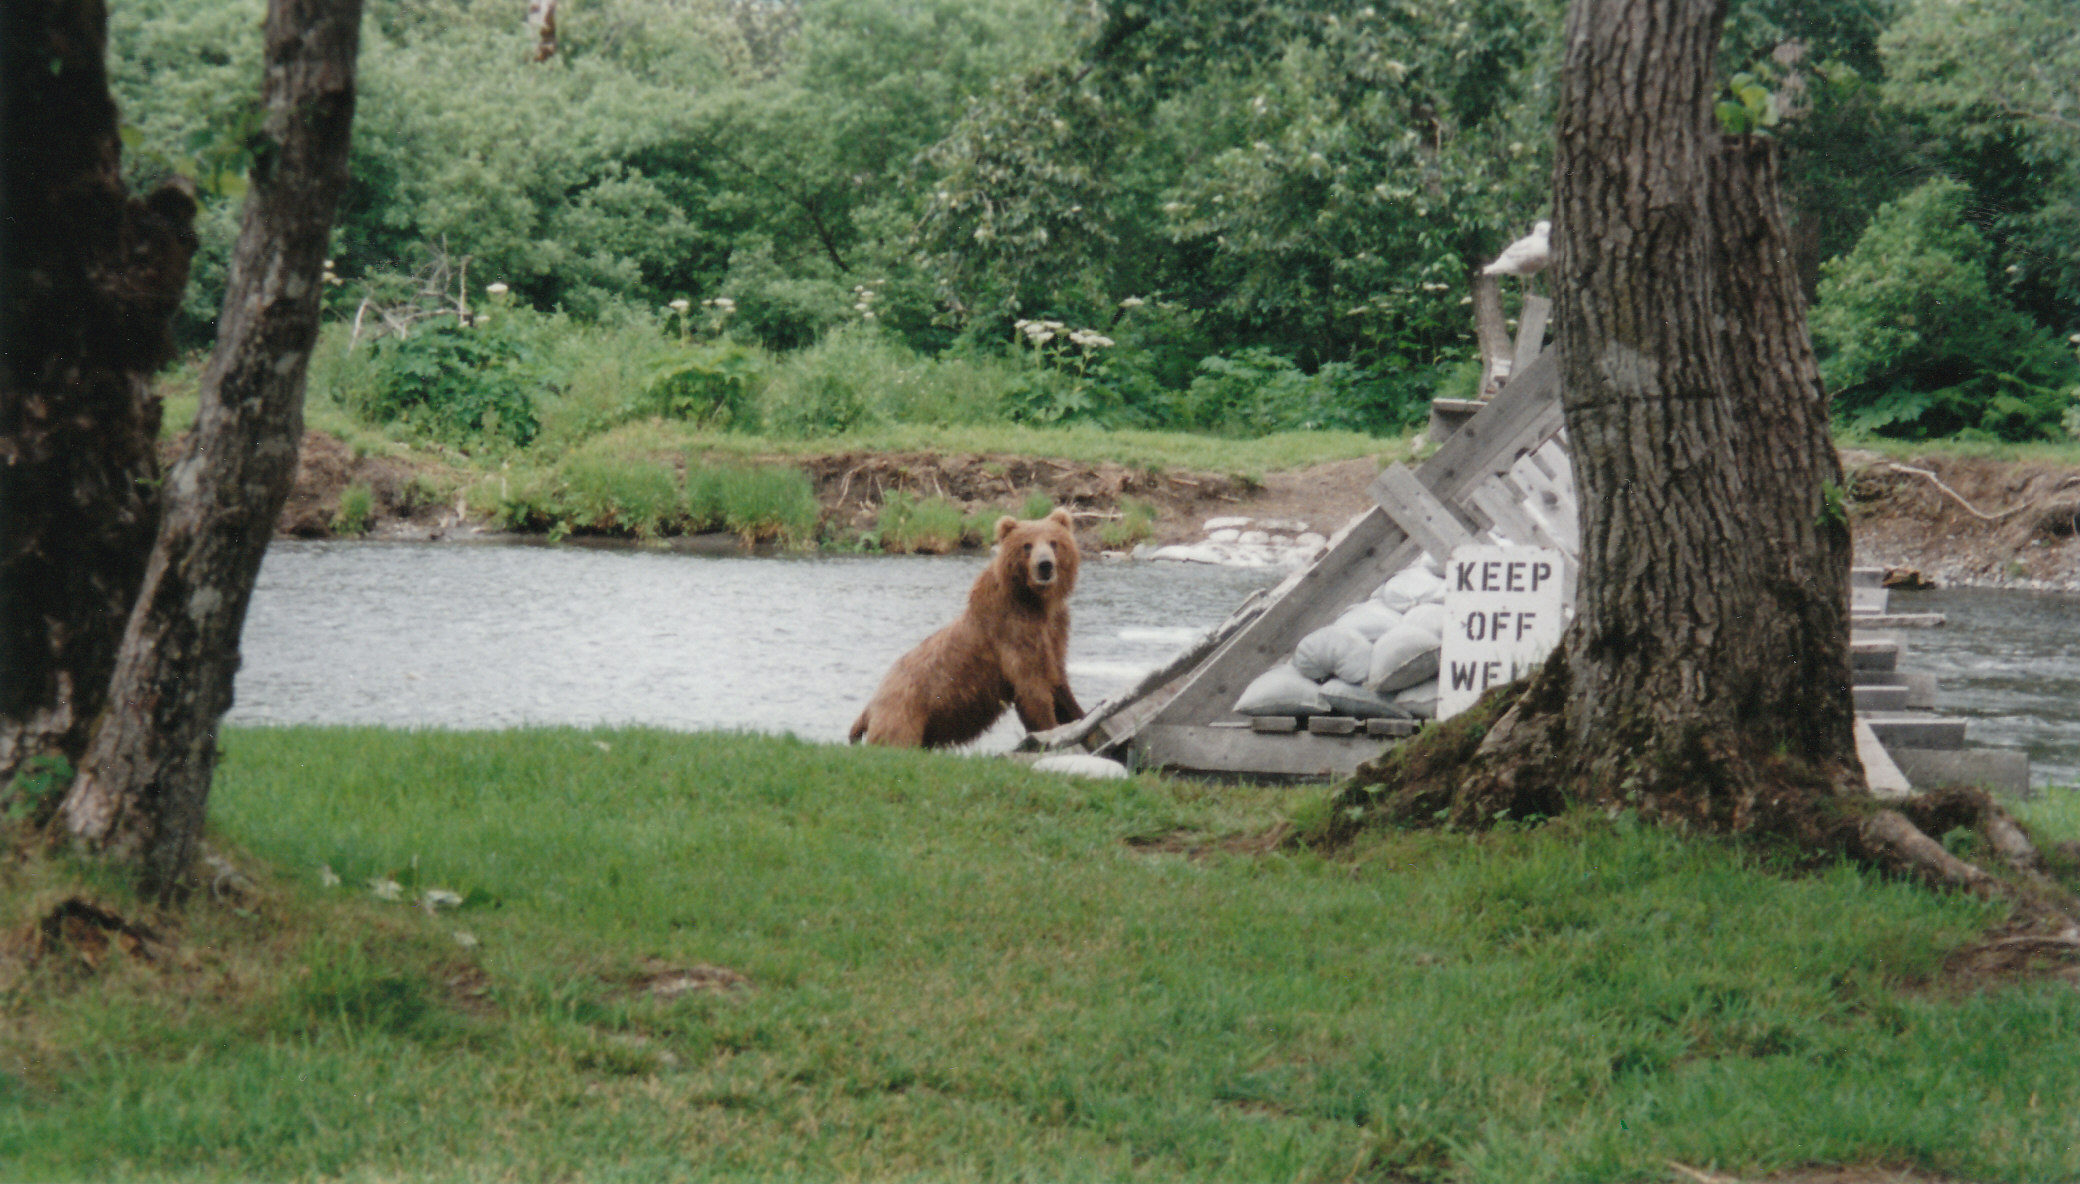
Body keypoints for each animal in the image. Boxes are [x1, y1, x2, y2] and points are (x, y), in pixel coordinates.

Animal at [852, 503, 1089, 744]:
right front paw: (1049, 727)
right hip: (903, 715)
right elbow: (1033, 690)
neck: (1036, 603)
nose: (1045, 565)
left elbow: (1058, 681)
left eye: (1054, 542)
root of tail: (869, 706)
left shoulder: (1055, 631)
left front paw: (1078, 715)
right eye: (1027, 545)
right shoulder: (1013, 633)